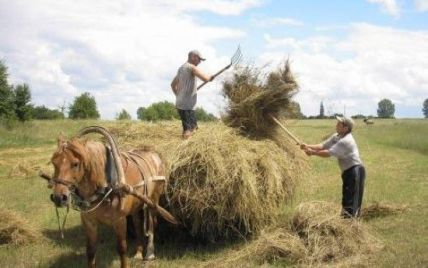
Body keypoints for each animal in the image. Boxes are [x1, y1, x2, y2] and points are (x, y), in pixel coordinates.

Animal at [47, 126, 178, 266]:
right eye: (54, 163)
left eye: (75, 164)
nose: (59, 197)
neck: (105, 187)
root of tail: (154, 154)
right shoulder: (89, 221)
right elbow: (91, 251)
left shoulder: (119, 220)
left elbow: (122, 248)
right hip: (136, 205)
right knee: (138, 225)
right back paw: (138, 252)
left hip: (153, 200)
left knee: (152, 223)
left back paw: (149, 253)